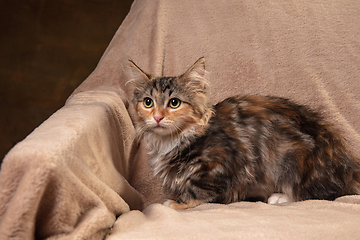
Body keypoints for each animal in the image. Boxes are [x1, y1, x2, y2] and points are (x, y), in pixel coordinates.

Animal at [126, 57, 360, 210]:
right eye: (148, 102)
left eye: (174, 103)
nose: (157, 117)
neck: (175, 139)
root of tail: (348, 163)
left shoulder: (220, 165)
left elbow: (197, 189)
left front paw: (175, 202)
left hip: (293, 159)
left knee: (322, 193)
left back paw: (280, 197)